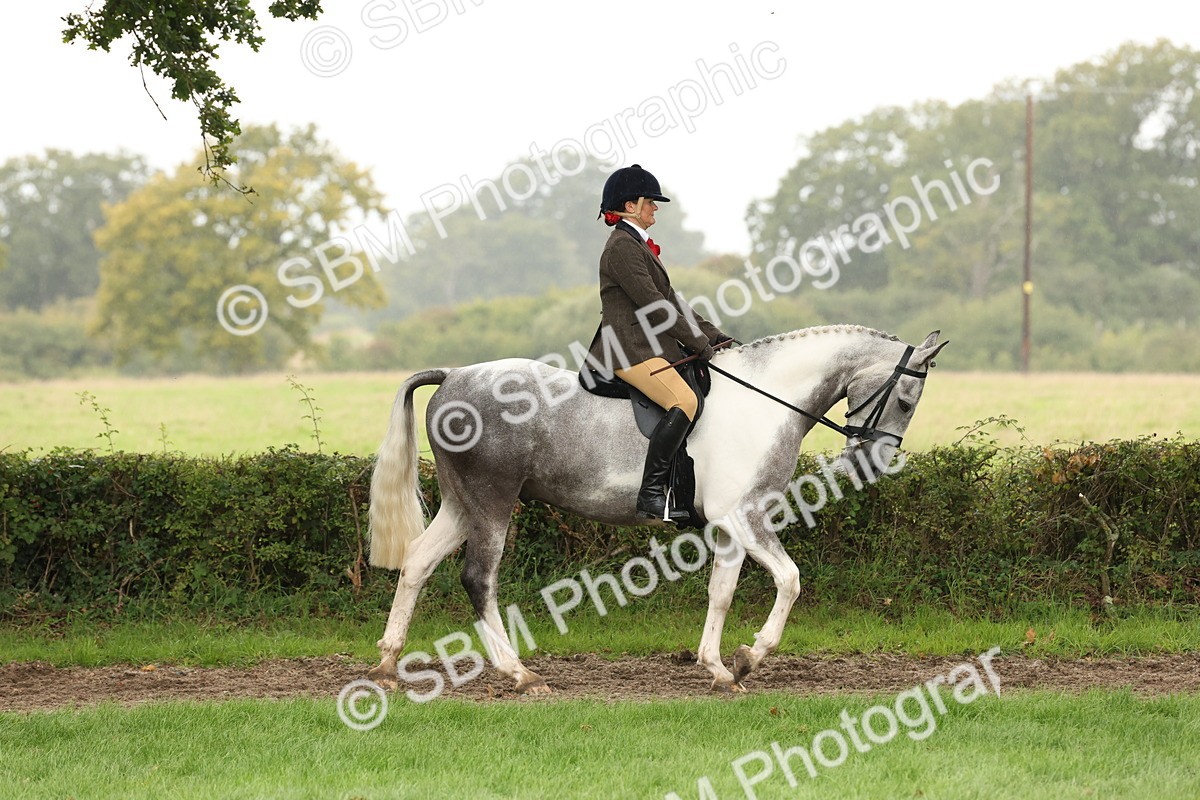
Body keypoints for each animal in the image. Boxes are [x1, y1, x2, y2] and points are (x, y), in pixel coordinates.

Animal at [365, 325, 948, 694]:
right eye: (905, 400)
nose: (872, 464)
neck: (766, 401)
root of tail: (454, 377)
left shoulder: (731, 528)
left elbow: (720, 593)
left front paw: (719, 669)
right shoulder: (747, 517)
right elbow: (790, 580)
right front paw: (750, 657)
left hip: (462, 504)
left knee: (417, 561)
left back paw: (388, 663)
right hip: (492, 502)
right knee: (478, 579)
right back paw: (520, 675)